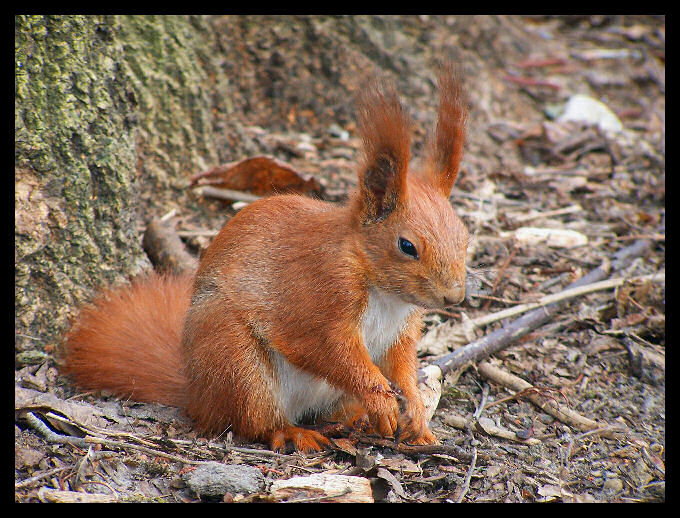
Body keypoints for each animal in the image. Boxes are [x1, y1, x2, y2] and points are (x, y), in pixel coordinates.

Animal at [62, 65, 468, 456]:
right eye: (407, 246)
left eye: (465, 236)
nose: (454, 297)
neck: (382, 289)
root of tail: (196, 395)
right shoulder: (317, 296)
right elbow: (332, 352)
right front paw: (380, 399)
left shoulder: (401, 329)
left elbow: (402, 365)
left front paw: (415, 411)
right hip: (237, 361)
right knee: (255, 421)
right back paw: (294, 432)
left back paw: (352, 422)